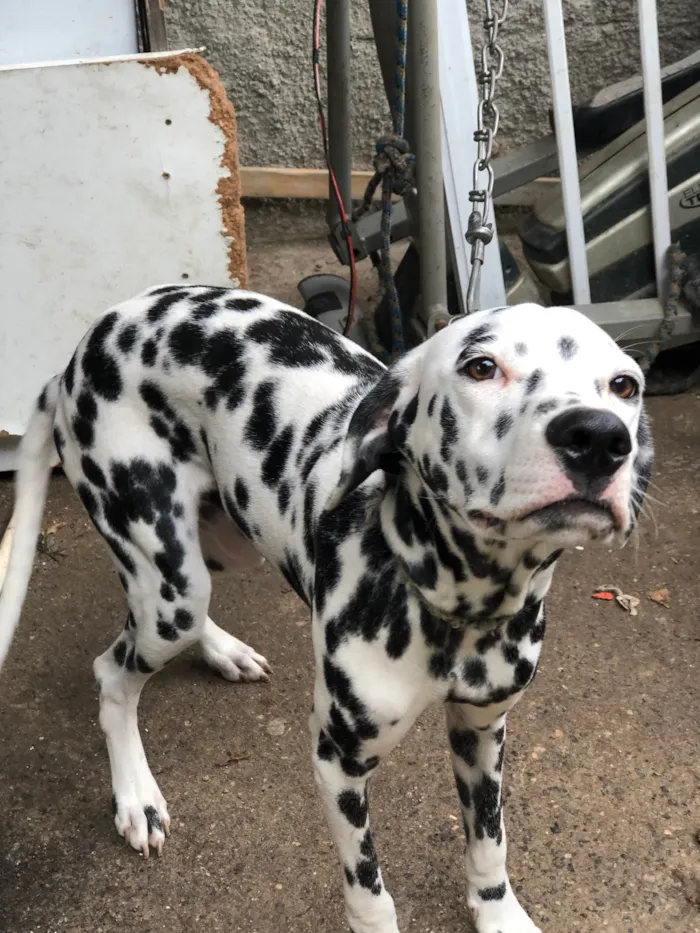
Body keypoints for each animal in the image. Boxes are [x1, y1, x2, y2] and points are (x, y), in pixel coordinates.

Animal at [1, 286, 652, 932]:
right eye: (481, 367)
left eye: (625, 384)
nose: (599, 438)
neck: (454, 606)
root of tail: (83, 349)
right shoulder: (338, 762)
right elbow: (370, 894)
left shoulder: (483, 729)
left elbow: (489, 841)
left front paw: (499, 915)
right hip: (166, 578)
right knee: (113, 673)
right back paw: (136, 796)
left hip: (220, 545)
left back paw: (223, 651)